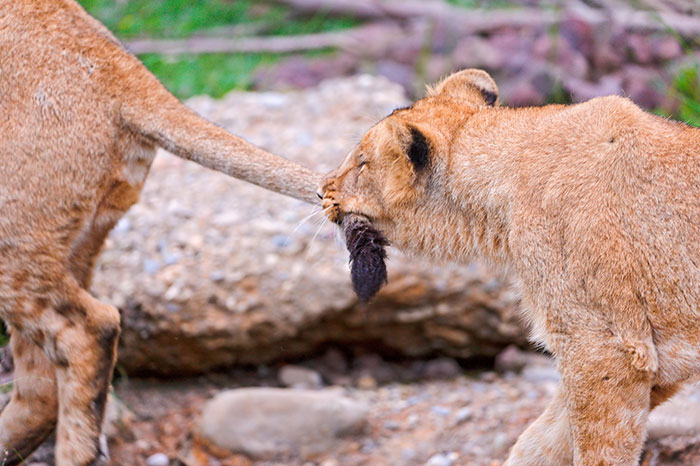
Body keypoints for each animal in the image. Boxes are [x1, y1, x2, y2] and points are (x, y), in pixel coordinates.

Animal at [324, 67, 700, 464]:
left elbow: (598, 448)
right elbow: (540, 441)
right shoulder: (651, 364)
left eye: (362, 162)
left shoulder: (605, 349)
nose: (321, 189)